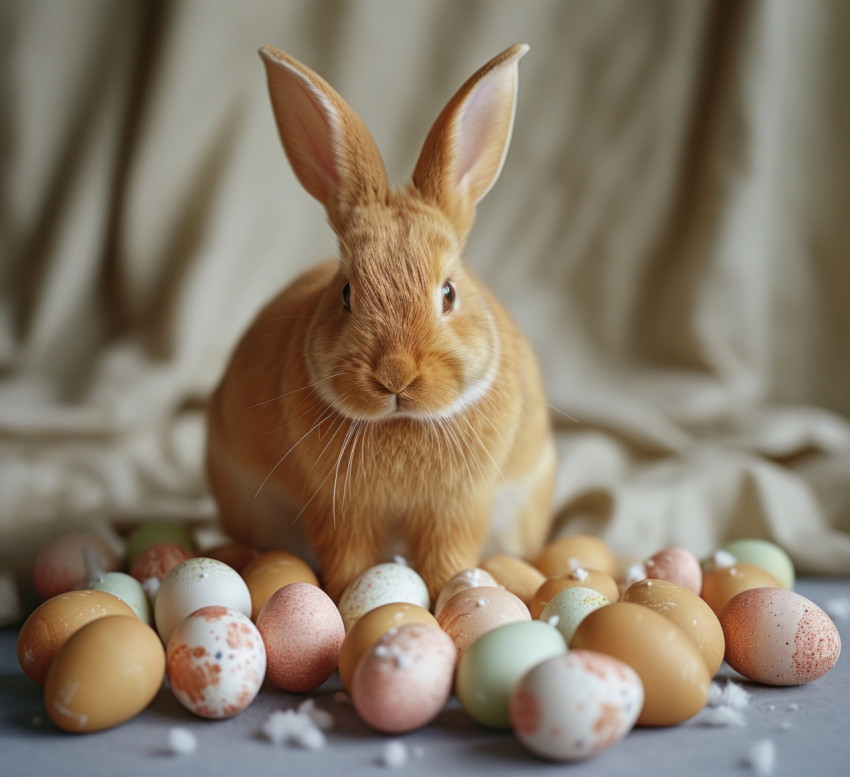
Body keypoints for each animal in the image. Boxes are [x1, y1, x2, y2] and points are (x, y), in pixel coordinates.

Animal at [205, 41, 556, 600]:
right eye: (347, 293)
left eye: (449, 293)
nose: (396, 375)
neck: (401, 422)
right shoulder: (339, 510)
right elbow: (349, 562)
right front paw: (351, 600)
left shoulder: (457, 509)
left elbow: (447, 562)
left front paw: (451, 595)